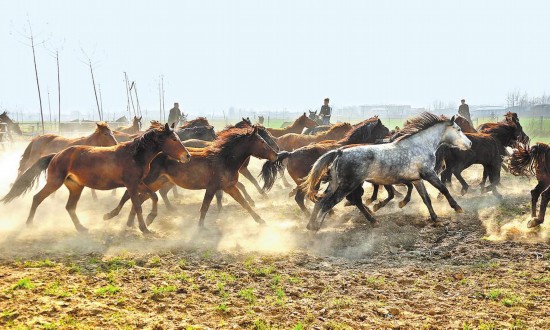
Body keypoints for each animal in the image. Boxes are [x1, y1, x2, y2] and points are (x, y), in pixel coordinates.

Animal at [2, 124, 192, 235]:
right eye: (173, 139)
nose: (187, 156)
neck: (134, 155)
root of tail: (56, 155)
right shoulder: (131, 184)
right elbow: (137, 205)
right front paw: (144, 228)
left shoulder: (139, 183)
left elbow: (153, 196)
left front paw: (150, 218)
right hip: (54, 182)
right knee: (37, 198)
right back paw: (29, 224)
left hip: (76, 187)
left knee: (70, 207)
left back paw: (81, 228)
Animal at [104, 126, 280, 227]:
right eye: (262, 142)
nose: (276, 154)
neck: (224, 159)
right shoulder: (213, 187)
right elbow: (205, 206)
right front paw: (201, 228)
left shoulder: (229, 187)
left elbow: (245, 203)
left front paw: (261, 220)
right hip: (148, 180)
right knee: (130, 195)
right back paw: (115, 216)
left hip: (158, 182)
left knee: (142, 198)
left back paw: (134, 222)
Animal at [302, 112, 474, 231]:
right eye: (458, 129)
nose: (470, 143)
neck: (420, 145)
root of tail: (339, 152)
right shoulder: (428, 174)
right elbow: (443, 189)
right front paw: (457, 207)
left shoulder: (417, 179)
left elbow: (426, 198)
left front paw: (435, 218)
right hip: (347, 186)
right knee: (329, 203)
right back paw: (316, 228)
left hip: (335, 184)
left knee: (321, 201)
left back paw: (311, 225)